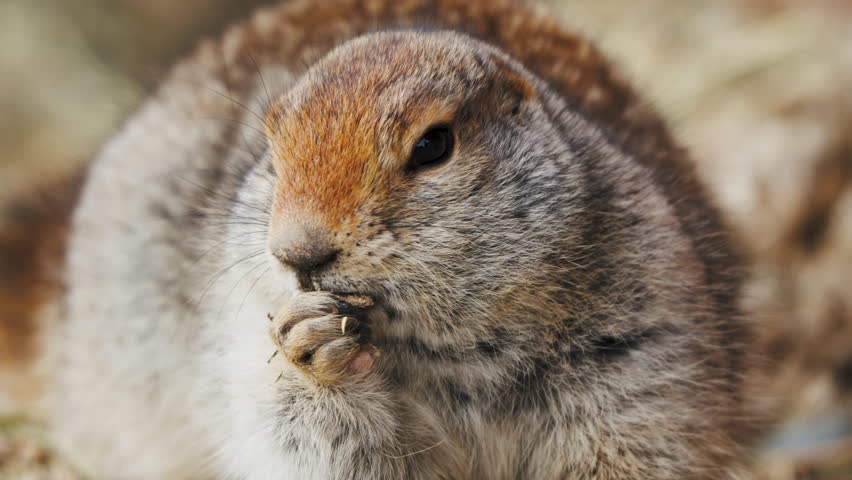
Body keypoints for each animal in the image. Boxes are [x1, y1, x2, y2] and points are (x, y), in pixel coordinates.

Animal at [0, 0, 766, 478]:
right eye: (270, 153)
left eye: (433, 145)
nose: (297, 254)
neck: (456, 355)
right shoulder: (247, 356)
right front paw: (313, 349)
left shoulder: (645, 352)